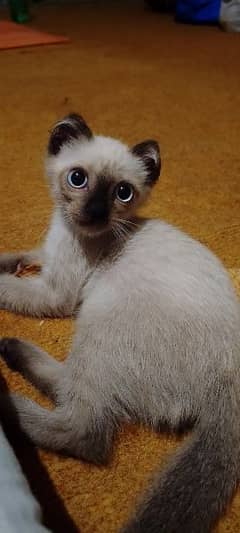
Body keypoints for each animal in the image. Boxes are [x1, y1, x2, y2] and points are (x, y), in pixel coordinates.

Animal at [0, 112, 240, 532]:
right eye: (77, 179)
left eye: (123, 193)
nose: (96, 213)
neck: (67, 232)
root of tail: (228, 378)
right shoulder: (45, 256)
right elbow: (16, 258)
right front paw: (10, 261)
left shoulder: (55, 294)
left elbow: (6, 286)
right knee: (72, 395)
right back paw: (11, 351)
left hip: (98, 321)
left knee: (85, 431)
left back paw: (5, 399)